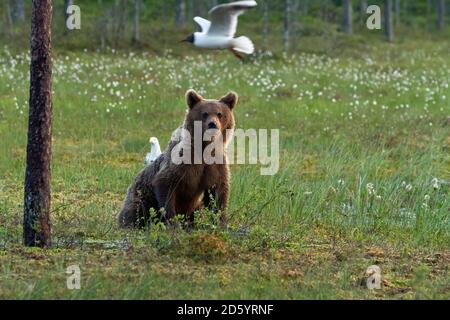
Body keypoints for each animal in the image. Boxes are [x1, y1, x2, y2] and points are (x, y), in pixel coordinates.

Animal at [118, 89, 239, 228]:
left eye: (220, 114)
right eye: (205, 113)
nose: (212, 124)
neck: (204, 148)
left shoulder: (215, 164)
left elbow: (218, 189)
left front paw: (221, 221)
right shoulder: (181, 160)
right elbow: (165, 183)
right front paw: (172, 222)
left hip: (194, 205)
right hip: (141, 195)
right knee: (136, 208)